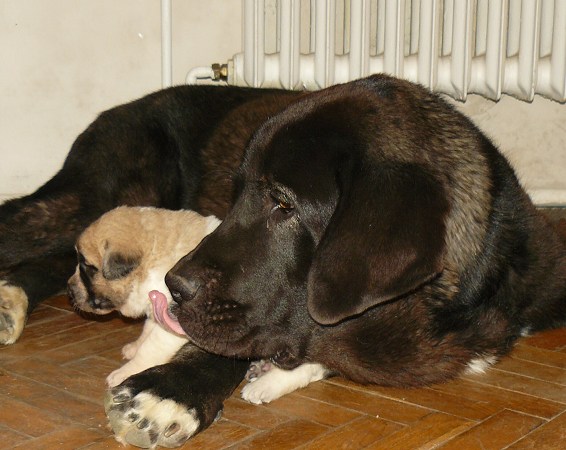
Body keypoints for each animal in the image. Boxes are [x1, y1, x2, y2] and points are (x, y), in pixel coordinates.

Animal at [67, 207, 221, 386]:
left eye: (87, 267)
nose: (69, 290)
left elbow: (150, 348)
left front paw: (124, 372)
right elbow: (147, 330)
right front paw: (134, 348)